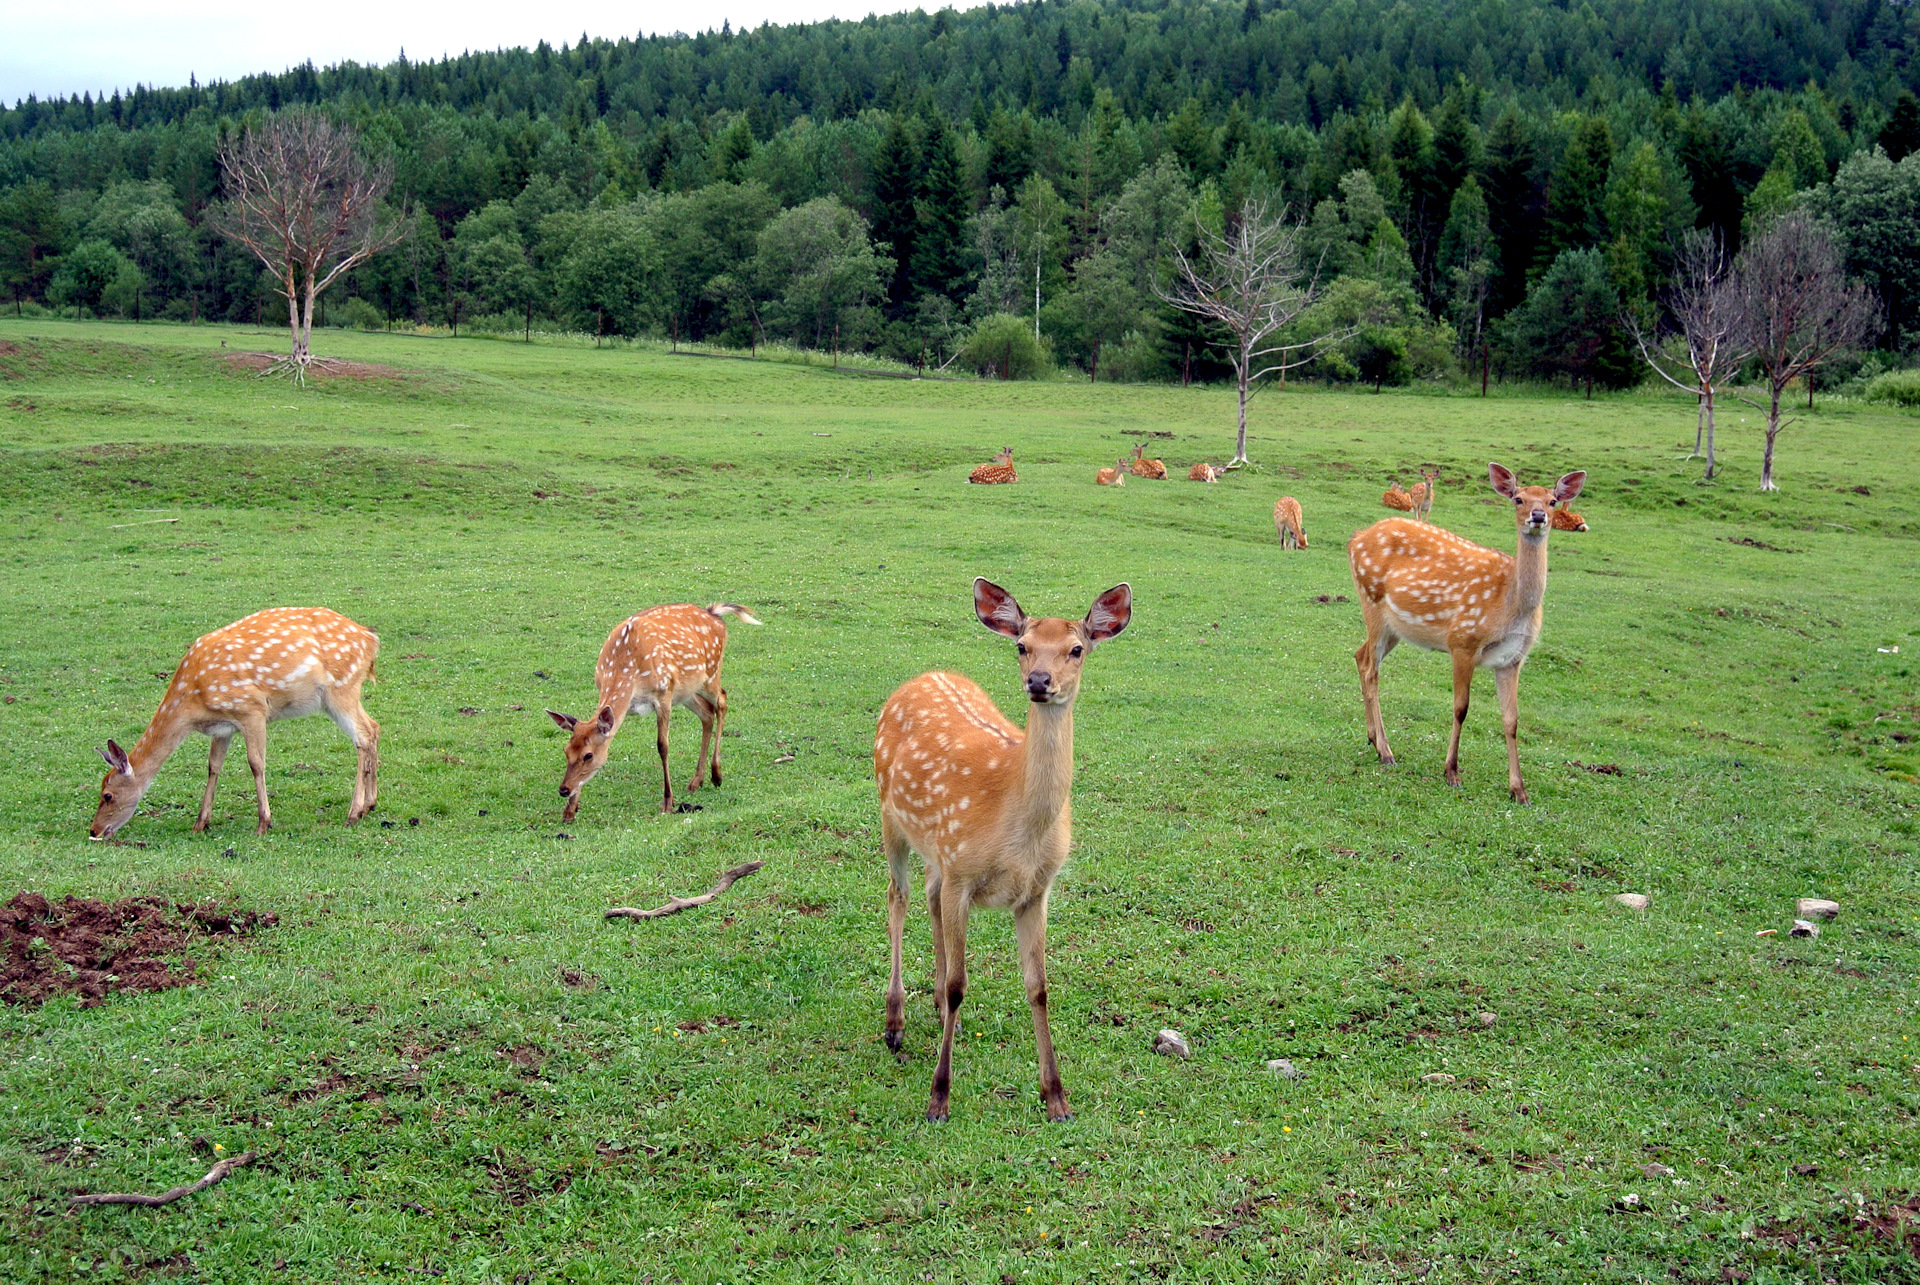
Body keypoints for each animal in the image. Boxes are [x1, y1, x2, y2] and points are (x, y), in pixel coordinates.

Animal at [89, 603, 382, 837]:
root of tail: (371, 640)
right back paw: (370, 805)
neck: (194, 701)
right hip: (338, 696)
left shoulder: (251, 710)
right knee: (374, 727)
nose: (94, 830)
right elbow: (213, 766)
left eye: (107, 795)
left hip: (341, 688)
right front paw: (201, 822)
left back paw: (353, 813)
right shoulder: (223, 727)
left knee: (363, 735)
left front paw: (264, 823)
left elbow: (256, 763)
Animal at [549, 599, 756, 810]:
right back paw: (697, 780)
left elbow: (663, 746)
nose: (563, 789)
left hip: (710, 674)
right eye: (566, 750)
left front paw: (668, 802)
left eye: (588, 755)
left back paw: (716, 775)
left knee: (722, 700)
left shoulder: (663, 695)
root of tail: (716, 615)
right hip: (686, 690)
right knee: (706, 713)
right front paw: (570, 810)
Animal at [879, 576, 1128, 1114]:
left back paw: (931, 1006)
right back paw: (895, 1022)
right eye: (1022, 646)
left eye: (1077, 648)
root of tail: (921, 676)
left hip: (939, 849)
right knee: (898, 897)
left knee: (927, 896)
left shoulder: (1036, 890)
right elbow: (961, 985)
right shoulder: (963, 873)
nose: (1039, 680)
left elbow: (1039, 987)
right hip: (891, 819)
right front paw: (939, 1097)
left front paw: (1056, 1098)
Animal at [1344, 460, 1582, 802]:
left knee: (1360, 655)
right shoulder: (1462, 640)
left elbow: (1512, 720)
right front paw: (1451, 772)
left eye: (1552, 500)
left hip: (1394, 627)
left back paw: (1373, 740)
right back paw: (1387, 751)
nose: (1538, 516)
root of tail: (1354, 539)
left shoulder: (1513, 658)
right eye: (1518, 499)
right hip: (1371, 601)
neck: (1510, 606)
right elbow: (1460, 708)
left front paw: (1519, 789)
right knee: (1370, 668)